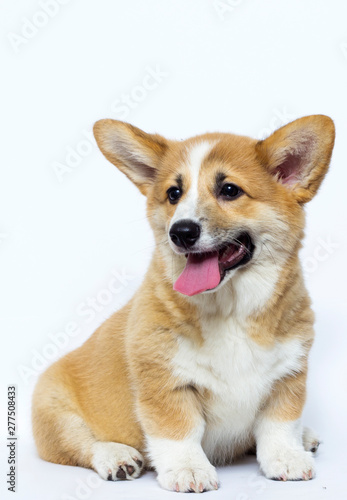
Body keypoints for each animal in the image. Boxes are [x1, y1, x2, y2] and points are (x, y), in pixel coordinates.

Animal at [32, 116, 334, 492]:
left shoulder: (287, 376)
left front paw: (287, 457)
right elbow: (179, 432)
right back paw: (116, 457)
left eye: (230, 190)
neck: (229, 309)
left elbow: (279, 425)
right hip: (53, 409)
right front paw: (189, 470)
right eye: (173, 194)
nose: (181, 232)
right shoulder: (165, 383)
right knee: (80, 443)